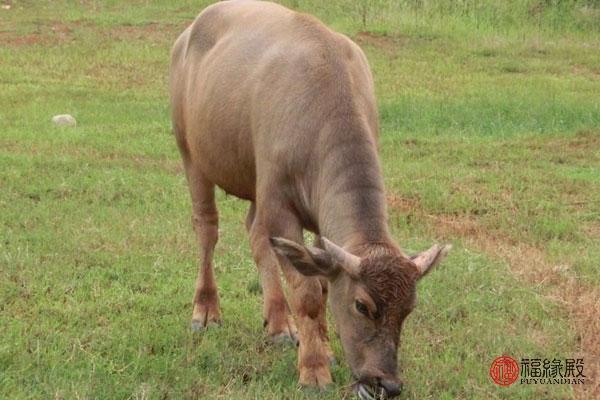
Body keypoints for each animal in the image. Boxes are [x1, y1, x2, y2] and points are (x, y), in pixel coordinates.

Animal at [169, 0, 450, 396]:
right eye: (362, 306)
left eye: (408, 309)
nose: (386, 383)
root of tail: (188, 33)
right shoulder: (280, 205)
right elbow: (308, 293)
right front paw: (314, 369)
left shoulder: (316, 219)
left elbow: (321, 281)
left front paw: (323, 347)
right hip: (191, 153)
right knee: (207, 228)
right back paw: (206, 312)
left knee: (255, 233)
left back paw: (279, 323)